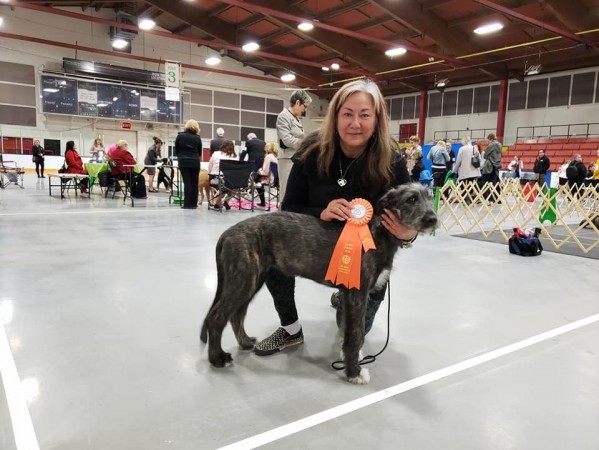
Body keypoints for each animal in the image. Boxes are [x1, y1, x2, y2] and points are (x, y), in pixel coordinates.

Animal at [199, 183, 438, 384]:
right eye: (411, 199)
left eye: (429, 197)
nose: (433, 219)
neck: (377, 233)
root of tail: (227, 234)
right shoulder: (357, 293)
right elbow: (355, 334)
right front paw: (354, 372)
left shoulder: (349, 295)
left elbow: (350, 330)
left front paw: (350, 358)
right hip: (243, 278)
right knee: (218, 316)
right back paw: (217, 358)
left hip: (252, 279)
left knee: (236, 314)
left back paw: (246, 342)